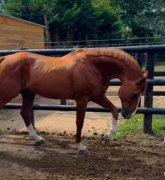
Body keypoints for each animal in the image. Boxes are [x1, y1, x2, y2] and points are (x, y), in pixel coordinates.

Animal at [0, 48, 147, 154]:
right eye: (135, 94)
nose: (128, 115)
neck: (93, 67)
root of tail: (5, 58)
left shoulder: (97, 96)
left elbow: (114, 110)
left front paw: (108, 135)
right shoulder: (82, 99)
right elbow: (79, 123)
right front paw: (81, 147)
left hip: (28, 93)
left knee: (25, 112)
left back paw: (37, 138)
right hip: (7, 94)